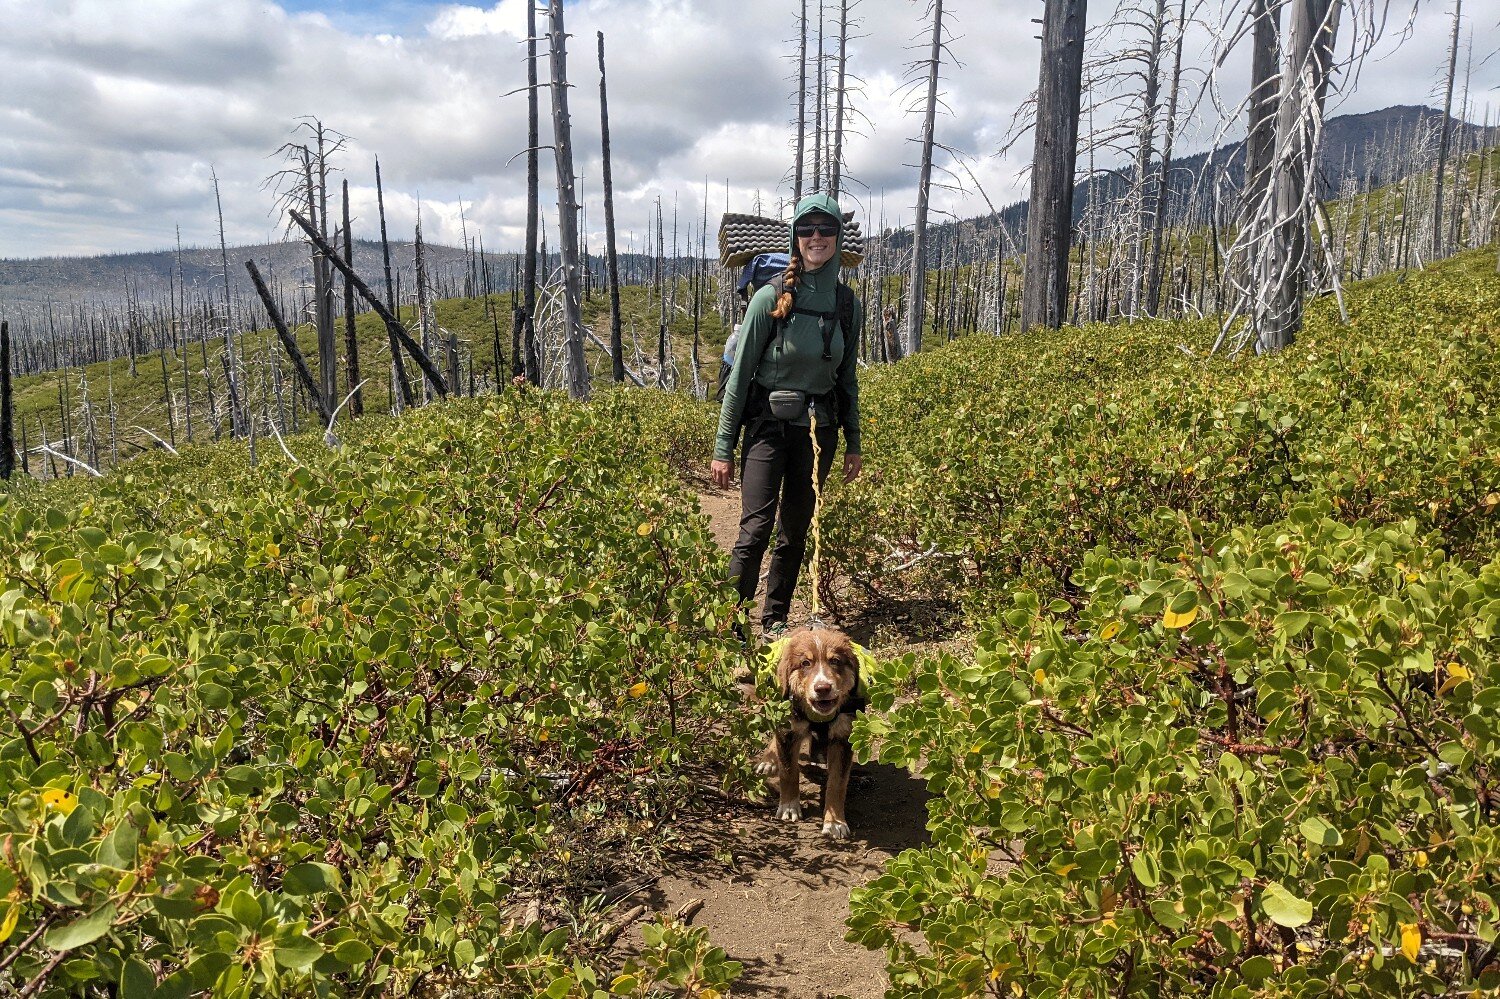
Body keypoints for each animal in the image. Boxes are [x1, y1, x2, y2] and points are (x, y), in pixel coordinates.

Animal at [756, 627, 864, 834]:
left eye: (835, 661)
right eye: (805, 663)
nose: (823, 688)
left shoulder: (843, 736)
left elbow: (837, 783)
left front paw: (835, 822)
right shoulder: (788, 731)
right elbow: (788, 772)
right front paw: (789, 807)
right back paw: (769, 761)